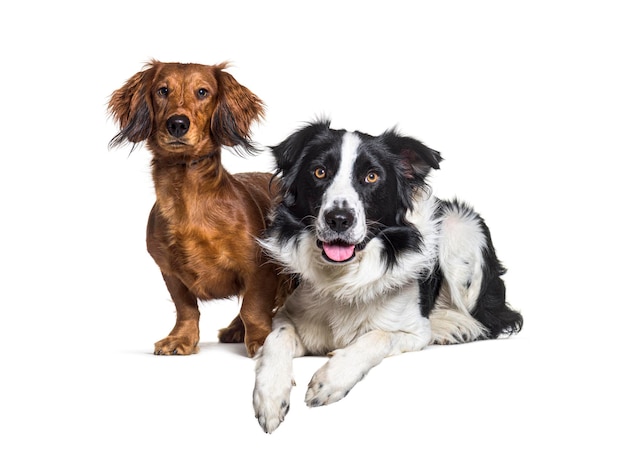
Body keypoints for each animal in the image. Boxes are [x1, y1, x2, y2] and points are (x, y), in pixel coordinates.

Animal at [108, 60, 280, 354]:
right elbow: (186, 309)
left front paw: (260, 340)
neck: (189, 201)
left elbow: (253, 308)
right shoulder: (170, 272)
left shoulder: (260, 269)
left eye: (202, 92)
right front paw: (181, 339)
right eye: (162, 90)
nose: (177, 123)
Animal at [251, 119, 520, 432]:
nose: (339, 219)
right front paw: (270, 396)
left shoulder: (413, 333)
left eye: (371, 177)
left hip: (459, 227)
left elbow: (378, 336)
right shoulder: (288, 315)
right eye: (319, 172)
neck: (344, 275)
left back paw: (454, 325)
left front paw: (330, 380)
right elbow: (276, 339)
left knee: (489, 318)